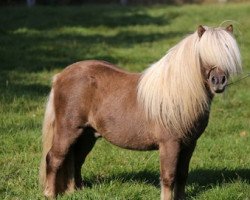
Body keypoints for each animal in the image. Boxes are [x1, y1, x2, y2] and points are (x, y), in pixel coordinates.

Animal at [39, 25, 242, 200]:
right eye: (203, 54)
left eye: (228, 54)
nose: (218, 81)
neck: (177, 95)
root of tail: (60, 76)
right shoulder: (170, 144)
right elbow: (169, 176)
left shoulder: (189, 144)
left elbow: (182, 175)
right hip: (69, 130)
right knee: (54, 158)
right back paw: (50, 194)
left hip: (87, 135)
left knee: (75, 160)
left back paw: (75, 192)